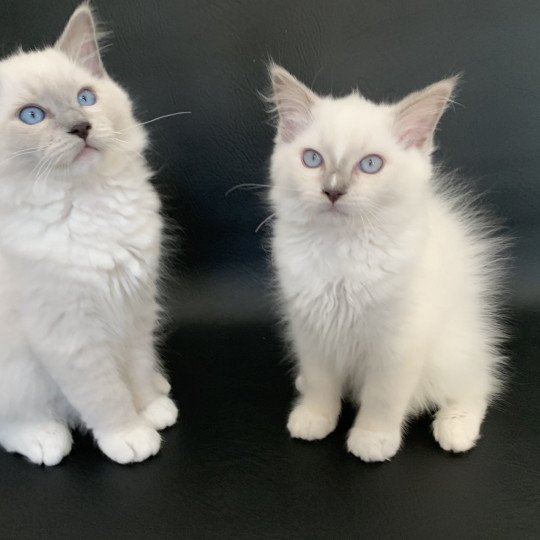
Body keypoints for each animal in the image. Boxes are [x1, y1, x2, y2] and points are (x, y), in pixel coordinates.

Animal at [0, 4, 178, 466]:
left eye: (85, 98)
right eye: (32, 116)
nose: (81, 127)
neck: (90, 203)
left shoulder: (135, 307)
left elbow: (135, 370)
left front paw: (151, 409)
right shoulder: (70, 334)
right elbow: (106, 395)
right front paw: (130, 436)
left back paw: (160, 386)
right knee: (11, 423)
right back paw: (44, 439)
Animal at [270, 63, 506, 460]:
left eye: (370, 165)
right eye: (313, 159)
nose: (333, 190)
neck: (342, 250)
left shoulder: (398, 342)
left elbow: (382, 398)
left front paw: (372, 440)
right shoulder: (312, 328)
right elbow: (321, 383)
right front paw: (315, 418)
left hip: (450, 352)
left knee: (477, 385)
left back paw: (455, 430)